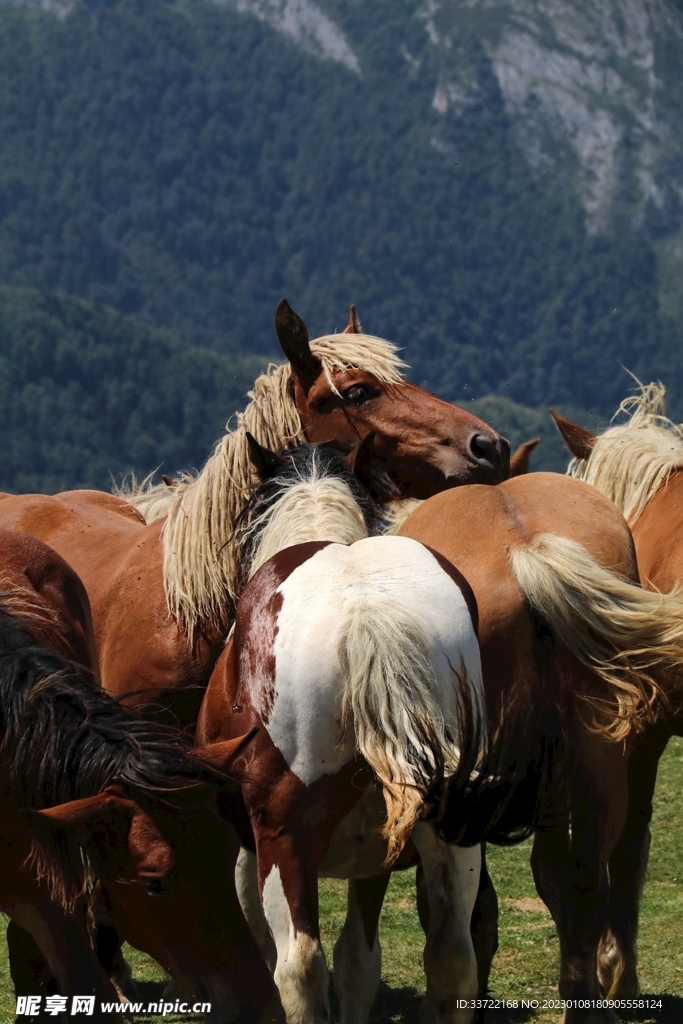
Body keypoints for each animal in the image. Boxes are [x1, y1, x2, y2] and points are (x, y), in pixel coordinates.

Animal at [195, 439, 489, 1024]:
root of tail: (368, 613)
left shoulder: (250, 846)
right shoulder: (374, 857)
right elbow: (358, 961)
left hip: (284, 841)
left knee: (299, 967)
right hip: (452, 833)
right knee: (452, 961)